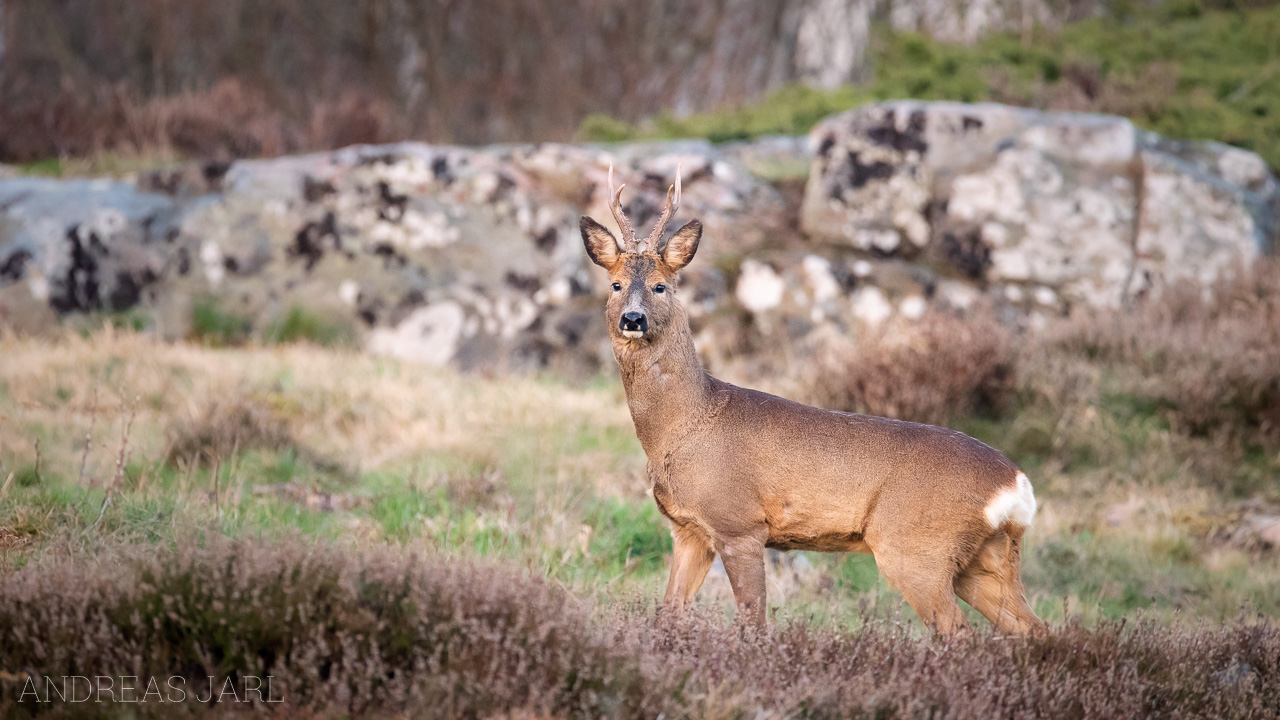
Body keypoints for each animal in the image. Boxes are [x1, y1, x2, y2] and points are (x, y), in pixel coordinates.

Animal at [586, 163, 1044, 632]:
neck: (685, 425)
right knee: (1033, 628)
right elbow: (667, 614)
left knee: (958, 630)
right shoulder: (689, 531)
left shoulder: (739, 524)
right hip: (986, 558)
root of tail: (1016, 484)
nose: (633, 319)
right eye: (615, 284)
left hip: (917, 547)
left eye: (661, 286)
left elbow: (753, 621)